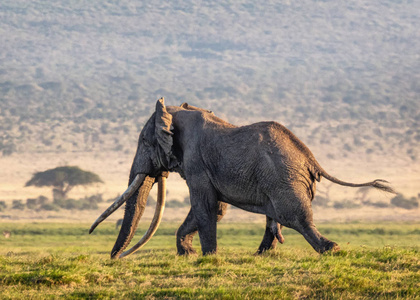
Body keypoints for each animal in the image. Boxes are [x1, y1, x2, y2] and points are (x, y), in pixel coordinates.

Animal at [90, 98, 396, 258]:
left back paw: (330, 249)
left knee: (295, 217)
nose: (115, 259)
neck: (176, 112)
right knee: (275, 219)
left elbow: (205, 206)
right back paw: (261, 256)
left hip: (283, 180)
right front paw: (188, 254)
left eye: (144, 141)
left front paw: (208, 258)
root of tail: (312, 159)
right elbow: (215, 208)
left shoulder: (197, 162)